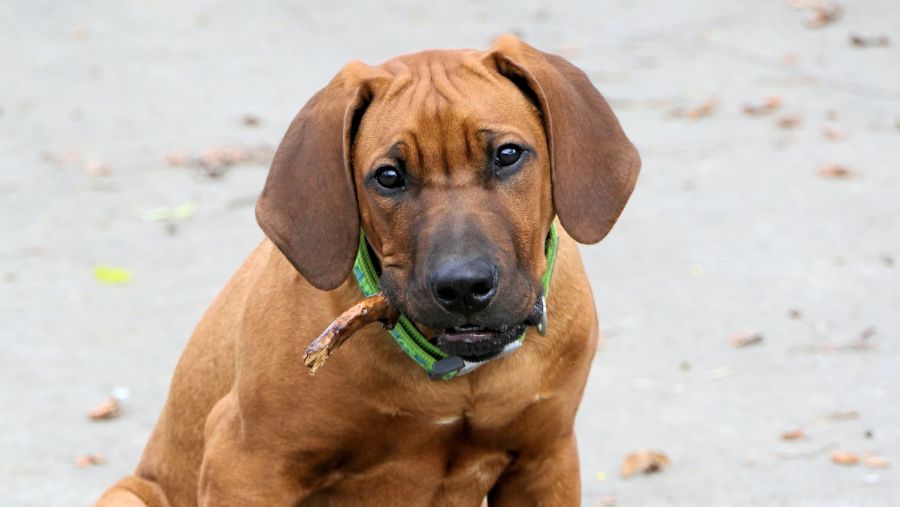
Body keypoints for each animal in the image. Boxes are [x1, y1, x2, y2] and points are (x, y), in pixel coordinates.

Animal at [96, 33, 640, 506]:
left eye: (507, 155)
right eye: (389, 177)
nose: (464, 287)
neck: (456, 375)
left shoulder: (546, 460)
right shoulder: (245, 463)